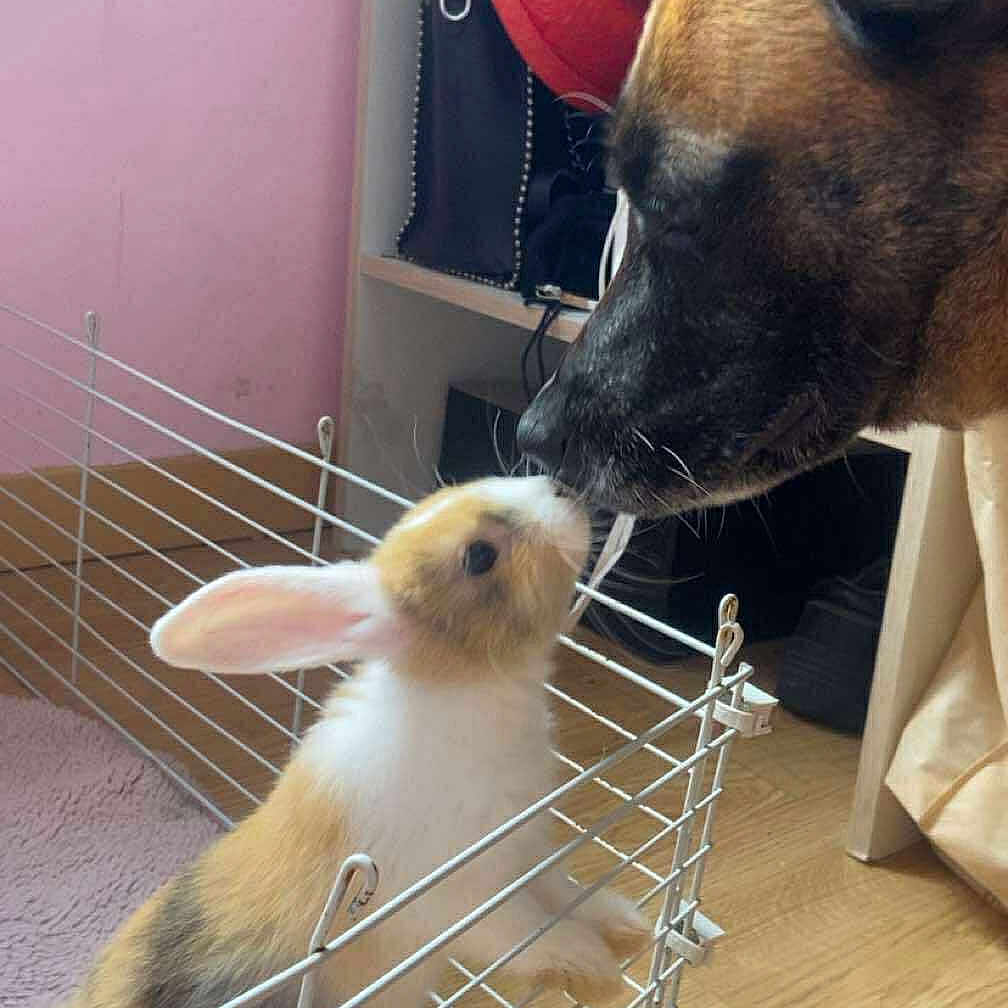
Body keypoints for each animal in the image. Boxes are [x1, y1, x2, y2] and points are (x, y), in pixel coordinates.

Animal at [65, 475, 651, 1008]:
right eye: (480, 555)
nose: (564, 491)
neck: (463, 687)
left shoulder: (530, 852)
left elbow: (566, 890)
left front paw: (630, 928)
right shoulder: (473, 898)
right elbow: (536, 933)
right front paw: (599, 972)